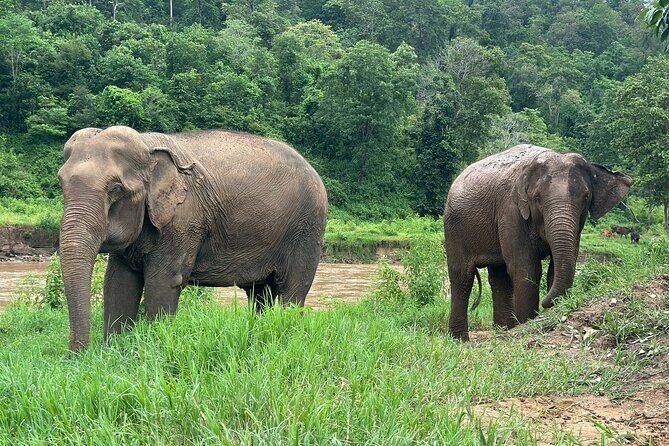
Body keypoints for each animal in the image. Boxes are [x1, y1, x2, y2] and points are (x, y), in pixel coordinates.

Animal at [58, 126, 328, 351]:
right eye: (61, 183)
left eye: (115, 189)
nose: (76, 356)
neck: (147, 145)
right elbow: (118, 281)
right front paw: (113, 351)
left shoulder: (184, 220)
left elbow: (163, 281)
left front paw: (156, 345)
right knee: (260, 292)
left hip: (307, 229)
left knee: (292, 289)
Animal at [444, 144, 631, 341]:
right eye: (537, 198)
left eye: (586, 197)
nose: (546, 304)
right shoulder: (510, 211)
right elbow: (527, 268)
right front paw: (525, 325)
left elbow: (557, 268)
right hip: (453, 227)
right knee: (462, 277)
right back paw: (461, 341)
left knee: (499, 277)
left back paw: (502, 331)